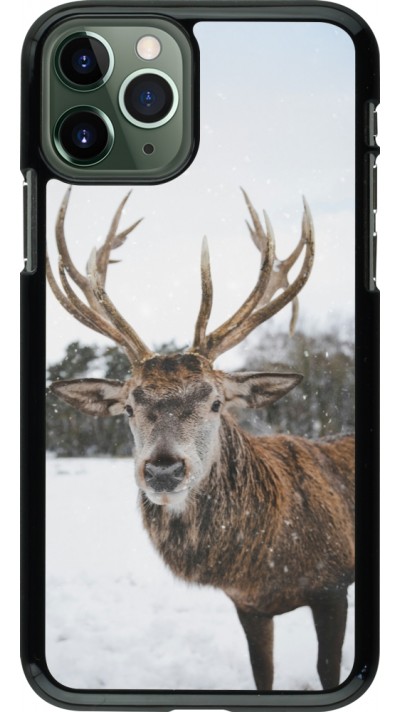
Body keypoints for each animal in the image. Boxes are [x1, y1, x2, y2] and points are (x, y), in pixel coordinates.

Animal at [47, 188, 354, 691]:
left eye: (215, 402)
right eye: (128, 407)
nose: (163, 469)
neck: (267, 563)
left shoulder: (333, 585)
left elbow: (329, 669)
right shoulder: (248, 605)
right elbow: (262, 674)